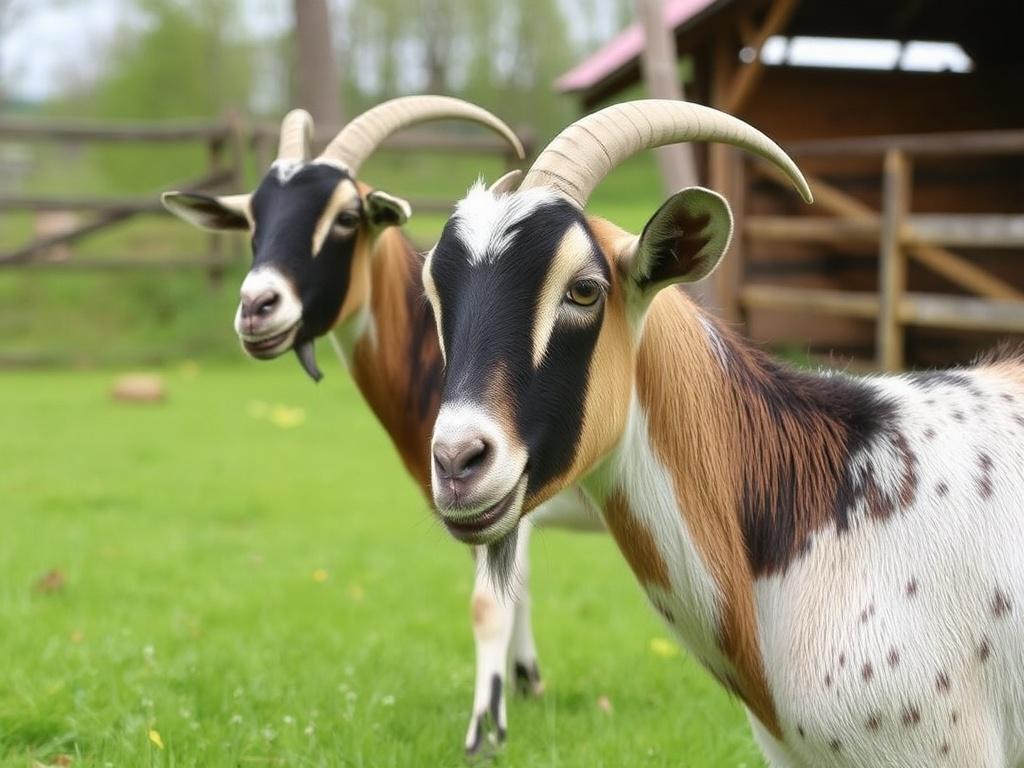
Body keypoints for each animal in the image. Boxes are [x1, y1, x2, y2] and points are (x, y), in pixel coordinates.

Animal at [161, 97, 603, 755]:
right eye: (252, 218)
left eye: (347, 217)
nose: (257, 307)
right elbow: (512, 591)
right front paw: (527, 686)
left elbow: (490, 604)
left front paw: (486, 730)